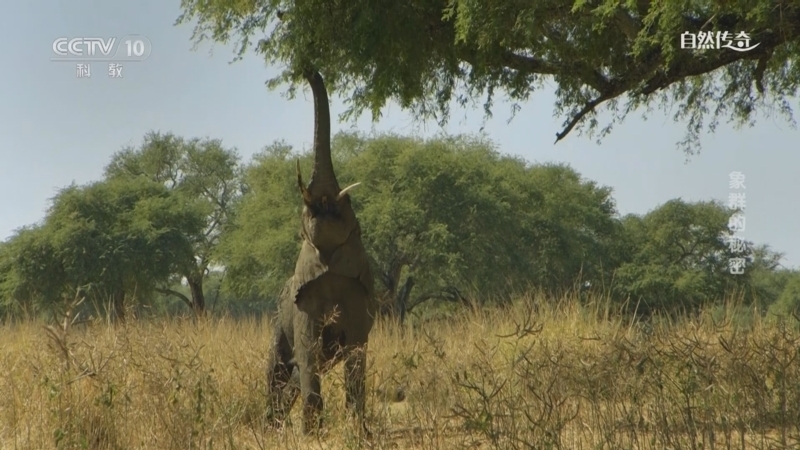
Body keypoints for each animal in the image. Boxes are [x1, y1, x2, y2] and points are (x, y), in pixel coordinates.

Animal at [265, 68, 377, 435]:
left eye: (349, 205)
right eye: (303, 225)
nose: (302, 68)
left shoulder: (360, 295)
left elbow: (356, 353)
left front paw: (359, 433)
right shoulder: (303, 302)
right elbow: (307, 349)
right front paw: (311, 434)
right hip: (277, 320)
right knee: (278, 369)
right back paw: (270, 427)